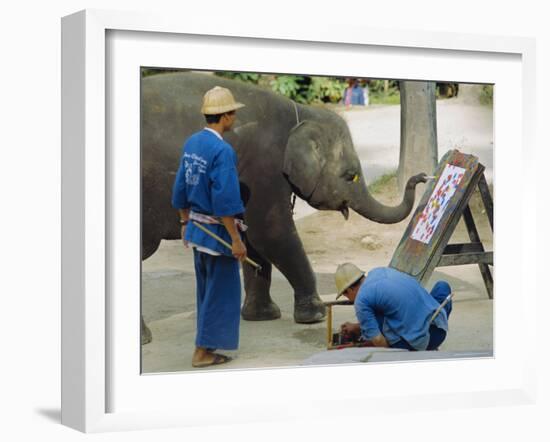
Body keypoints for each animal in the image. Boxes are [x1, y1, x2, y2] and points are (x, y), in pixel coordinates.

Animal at [140, 70, 430, 332]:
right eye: (350, 176)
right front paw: (315, 315)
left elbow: (251, 239)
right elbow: (271, 233)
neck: (302, 114)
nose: (422, 177)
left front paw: (262, 316)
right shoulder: (263, 168)